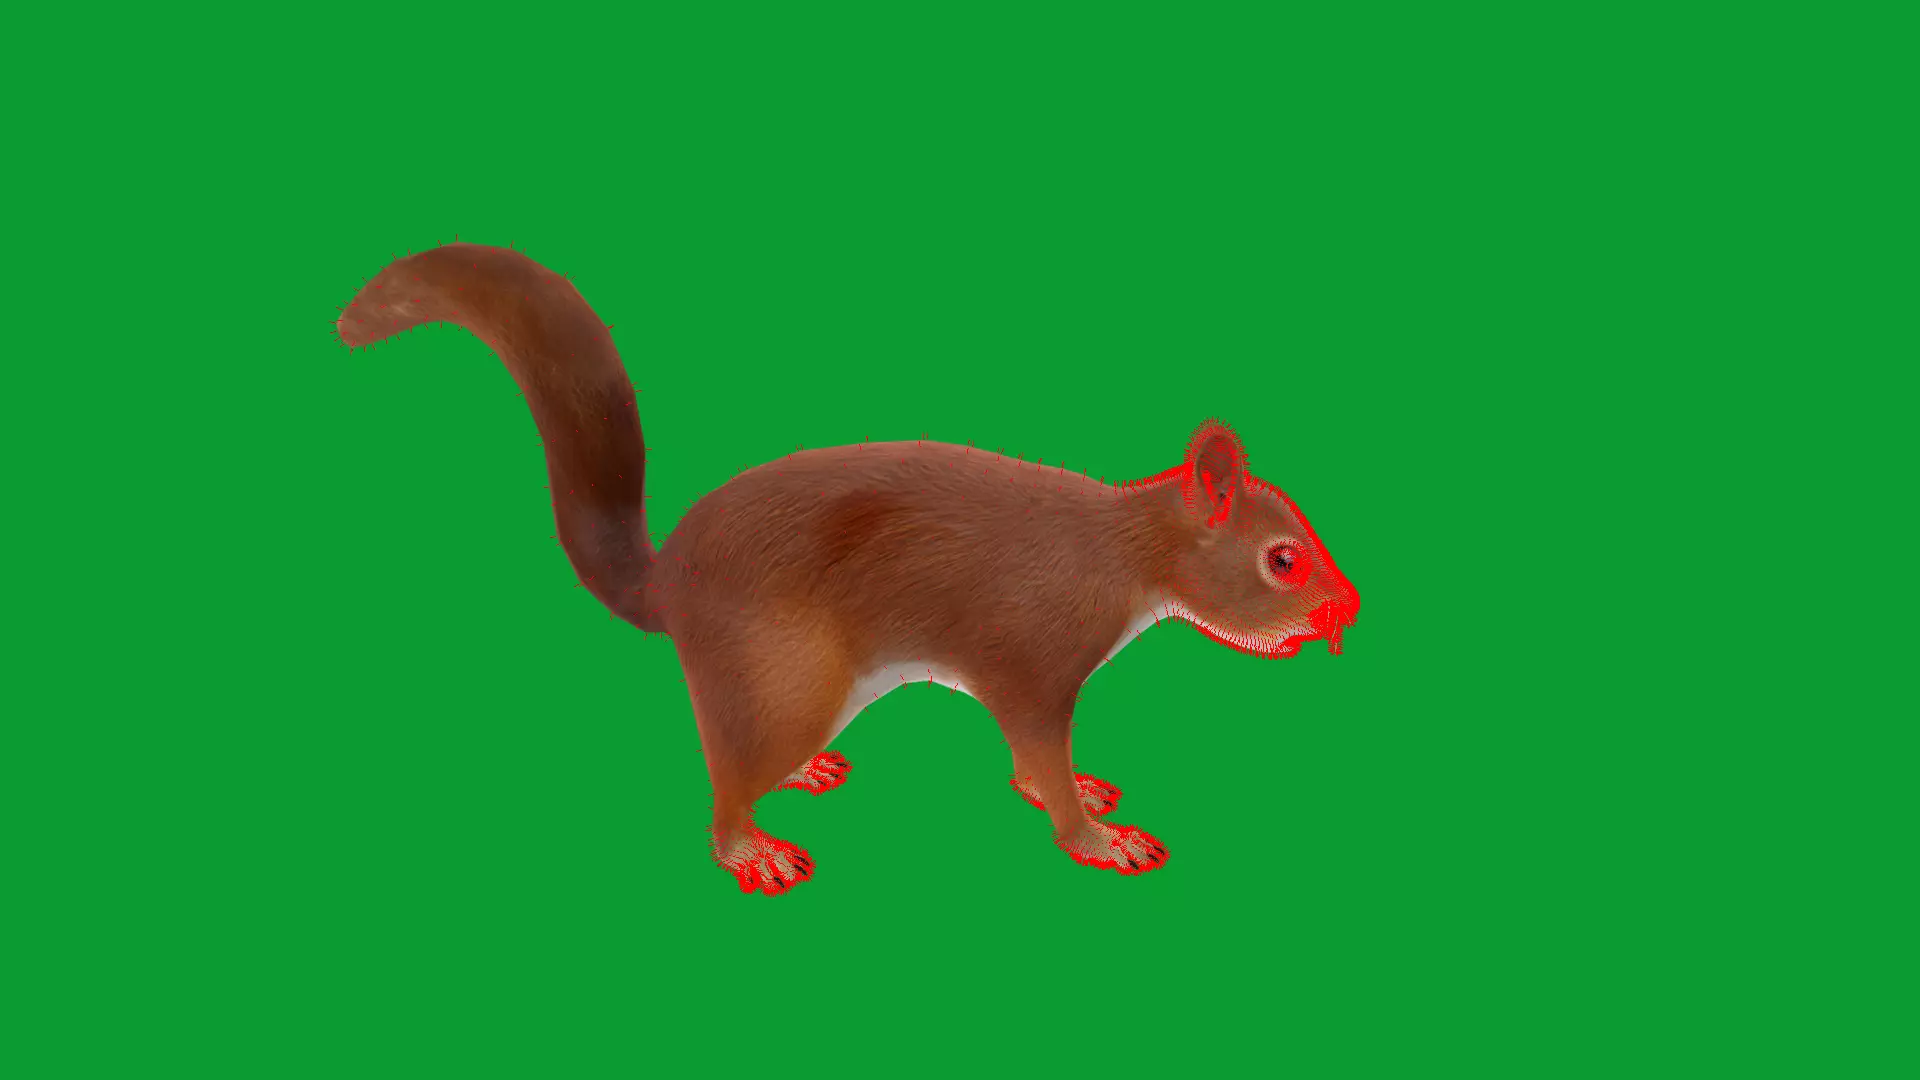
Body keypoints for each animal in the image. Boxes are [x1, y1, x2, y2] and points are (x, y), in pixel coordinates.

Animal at [336, 242, 1360, 895]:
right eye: (1282, 559)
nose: (1345, 612)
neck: (1124, 553)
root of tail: (668, 583)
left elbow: (1035, 763)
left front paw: (1083, 796)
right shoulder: (1029, 657)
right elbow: (1040, 753)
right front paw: (1096, 835)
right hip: (783, 678)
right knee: (725, 789)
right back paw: (752, 849)